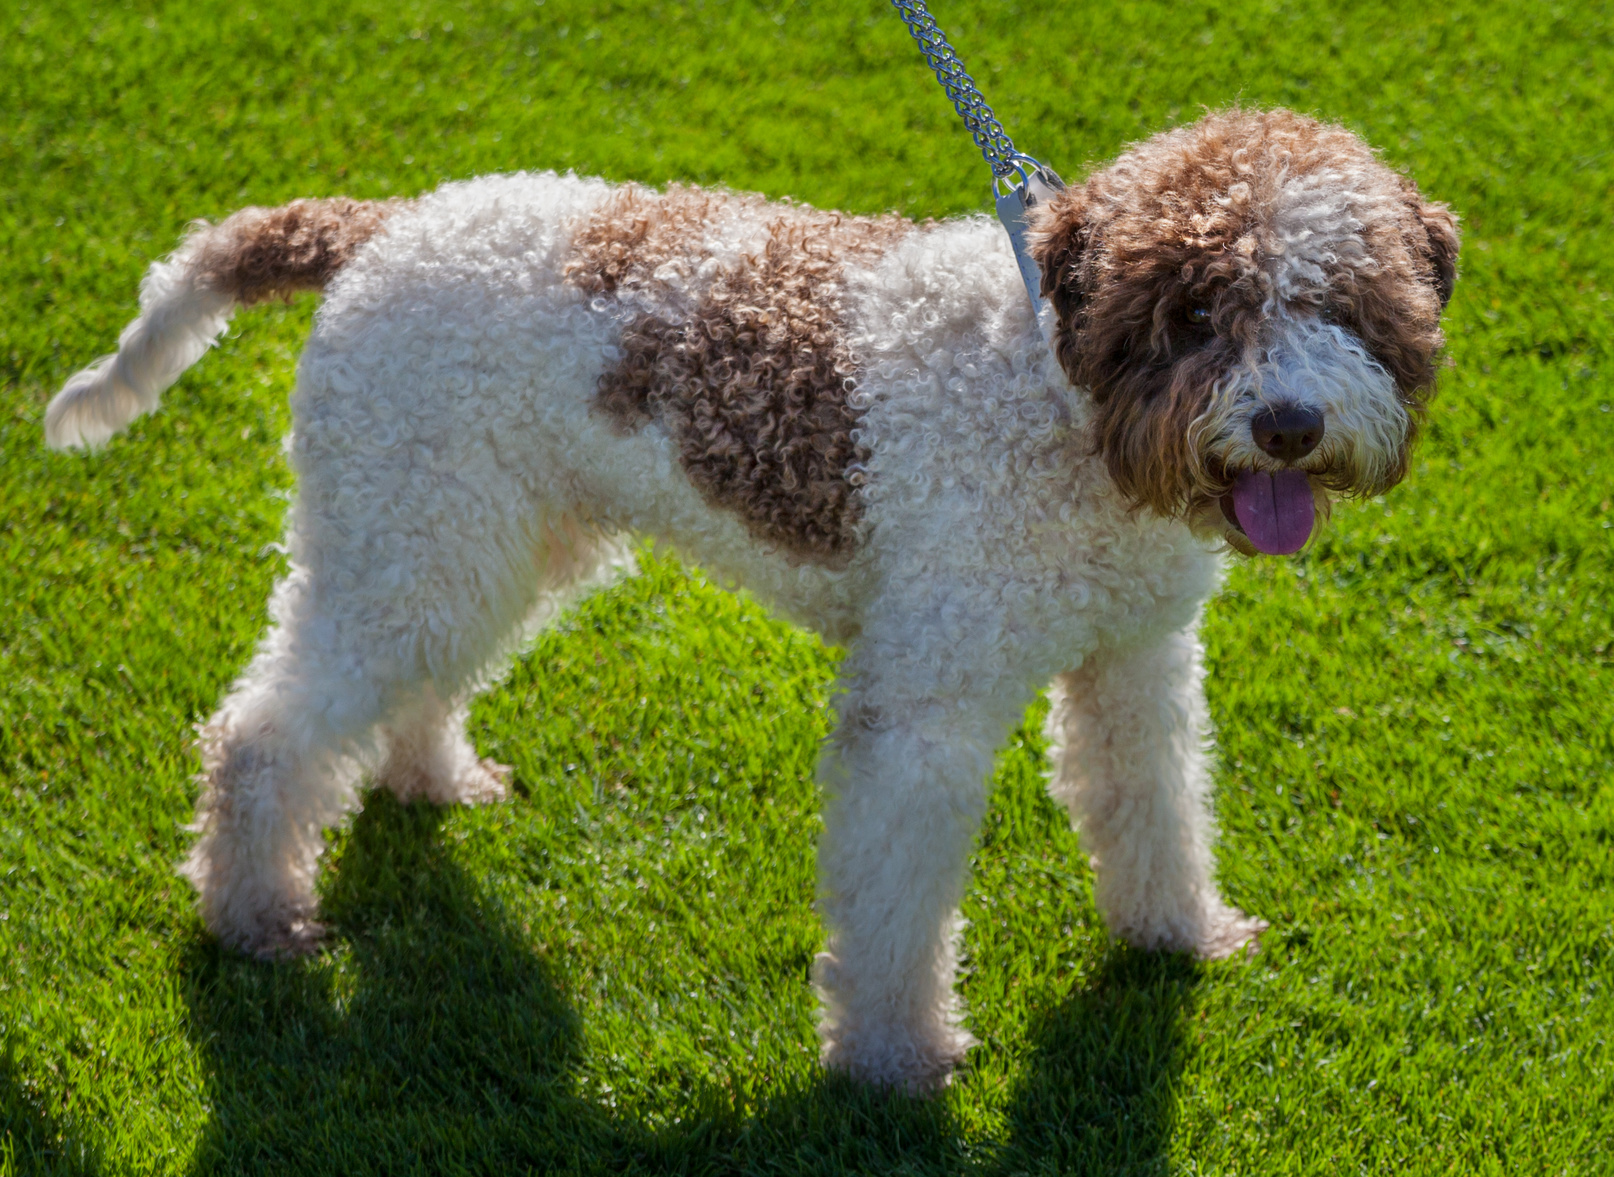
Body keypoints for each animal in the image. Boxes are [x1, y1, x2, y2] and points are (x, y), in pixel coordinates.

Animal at [47, 109, 1465, 1091]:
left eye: (1348, 303)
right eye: (1196, 306)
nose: (1288, 426)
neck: (1058, 400)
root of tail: (379, 225)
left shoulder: (1137, 658)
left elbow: (1156, 805)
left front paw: (1179, 935)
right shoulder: (922, 707)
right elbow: (897, 900)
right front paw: (895, 1063)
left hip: (487, 535)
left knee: (409, 685)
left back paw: (431, 780)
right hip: (414, 536)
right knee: (262, 733)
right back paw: (254, 918)